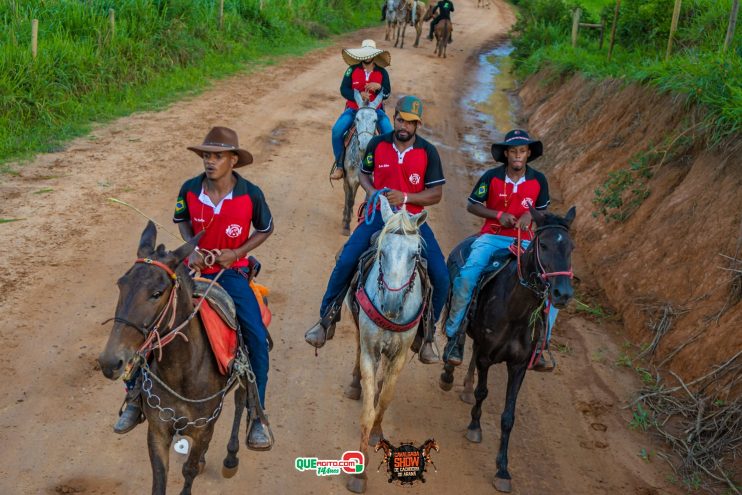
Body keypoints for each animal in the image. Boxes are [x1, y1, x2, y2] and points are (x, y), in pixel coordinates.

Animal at [97, 224, 254, 495]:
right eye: (120, 285)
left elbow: (188, 470)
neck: (182, 371)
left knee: (241, 401)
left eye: (157, 293)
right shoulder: (158, 431)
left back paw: (232, 455)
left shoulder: (203, 429)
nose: (110, 362)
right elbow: (160, 479)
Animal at [342, 90, 384, 236]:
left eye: (375, 120)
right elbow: (349, 199)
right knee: (347, 194)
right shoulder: (349, 177)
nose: (365, 144)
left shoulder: (369, 181)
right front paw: (346, 226)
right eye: (357, 118)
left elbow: (367, 201)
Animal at [346, 196, 428, 494]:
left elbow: (385, 398)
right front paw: (359, 475)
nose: (391, 304)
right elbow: (368, 412)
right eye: (382, 252)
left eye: (415, 255)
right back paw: (354, 383)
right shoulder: (371, 351)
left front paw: (378, 432)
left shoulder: (400, 355)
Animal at [438, 205, 580, 492]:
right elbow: (483, 392)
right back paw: (450, 369)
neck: (516, 310)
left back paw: (465, 388)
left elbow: (508, 417)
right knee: (457, 334)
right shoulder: (486, 356)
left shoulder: (518, 365)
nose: (562, 294)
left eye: (570, 247)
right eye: (543, 244)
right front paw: (475, 427)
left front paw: (502, 470)